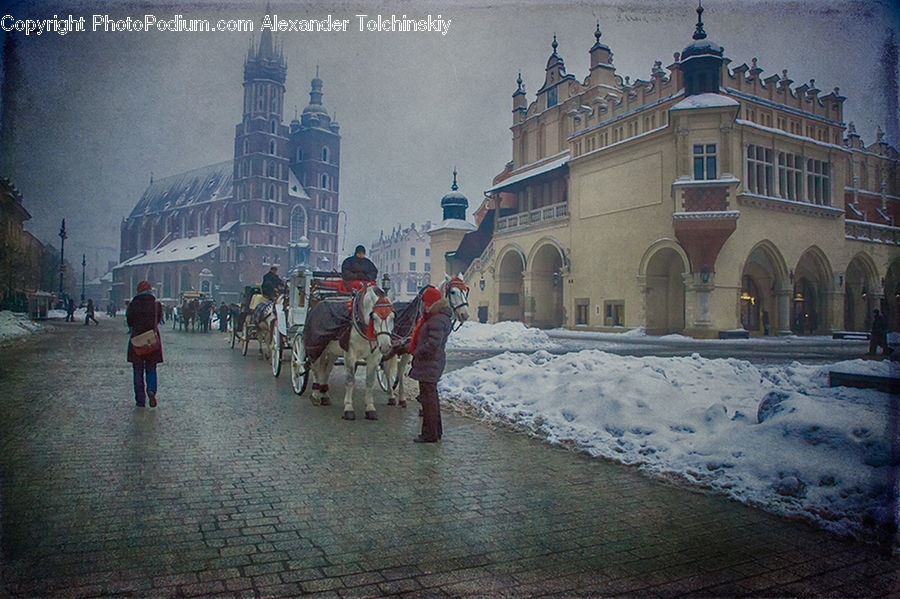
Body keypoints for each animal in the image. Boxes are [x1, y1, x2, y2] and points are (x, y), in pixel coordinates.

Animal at [310, 288, 394, 422]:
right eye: (374, 317)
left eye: (392, 317)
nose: (386, 346)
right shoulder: (350, 355)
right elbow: (349, 381)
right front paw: (348, 408)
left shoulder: (374, 358)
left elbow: (370, 382)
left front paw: (370, 408)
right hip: (318, 346)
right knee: (316, 369)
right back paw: (315, 394)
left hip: (332, 352)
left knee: (326, 371)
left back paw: (324, 395)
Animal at [382, 276, 468, 408]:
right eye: (453, 292)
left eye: (465, 291)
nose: (465, 314)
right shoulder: (407, 348)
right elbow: (402, 370)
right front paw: (403, 397)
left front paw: (419, 397)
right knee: (387, 367)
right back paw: (391, 394)